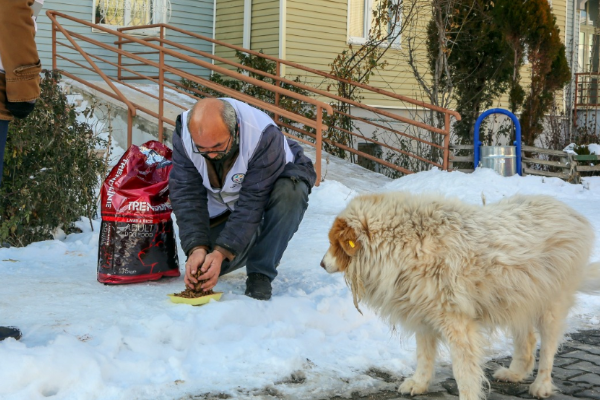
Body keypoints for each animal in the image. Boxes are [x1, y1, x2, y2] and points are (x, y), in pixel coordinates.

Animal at [322, 192, 596, 398]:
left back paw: (541, 385)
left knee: (548, 347)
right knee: (527, 340)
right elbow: (423, 356)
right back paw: (515, 373)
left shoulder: (458, 324)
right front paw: (419, 383)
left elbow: (463, 372)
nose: (322, 264)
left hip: (551, 305)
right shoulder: (423, 315)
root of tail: (570, 212)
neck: (405, 244)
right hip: (516, 299)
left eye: (336, 244)